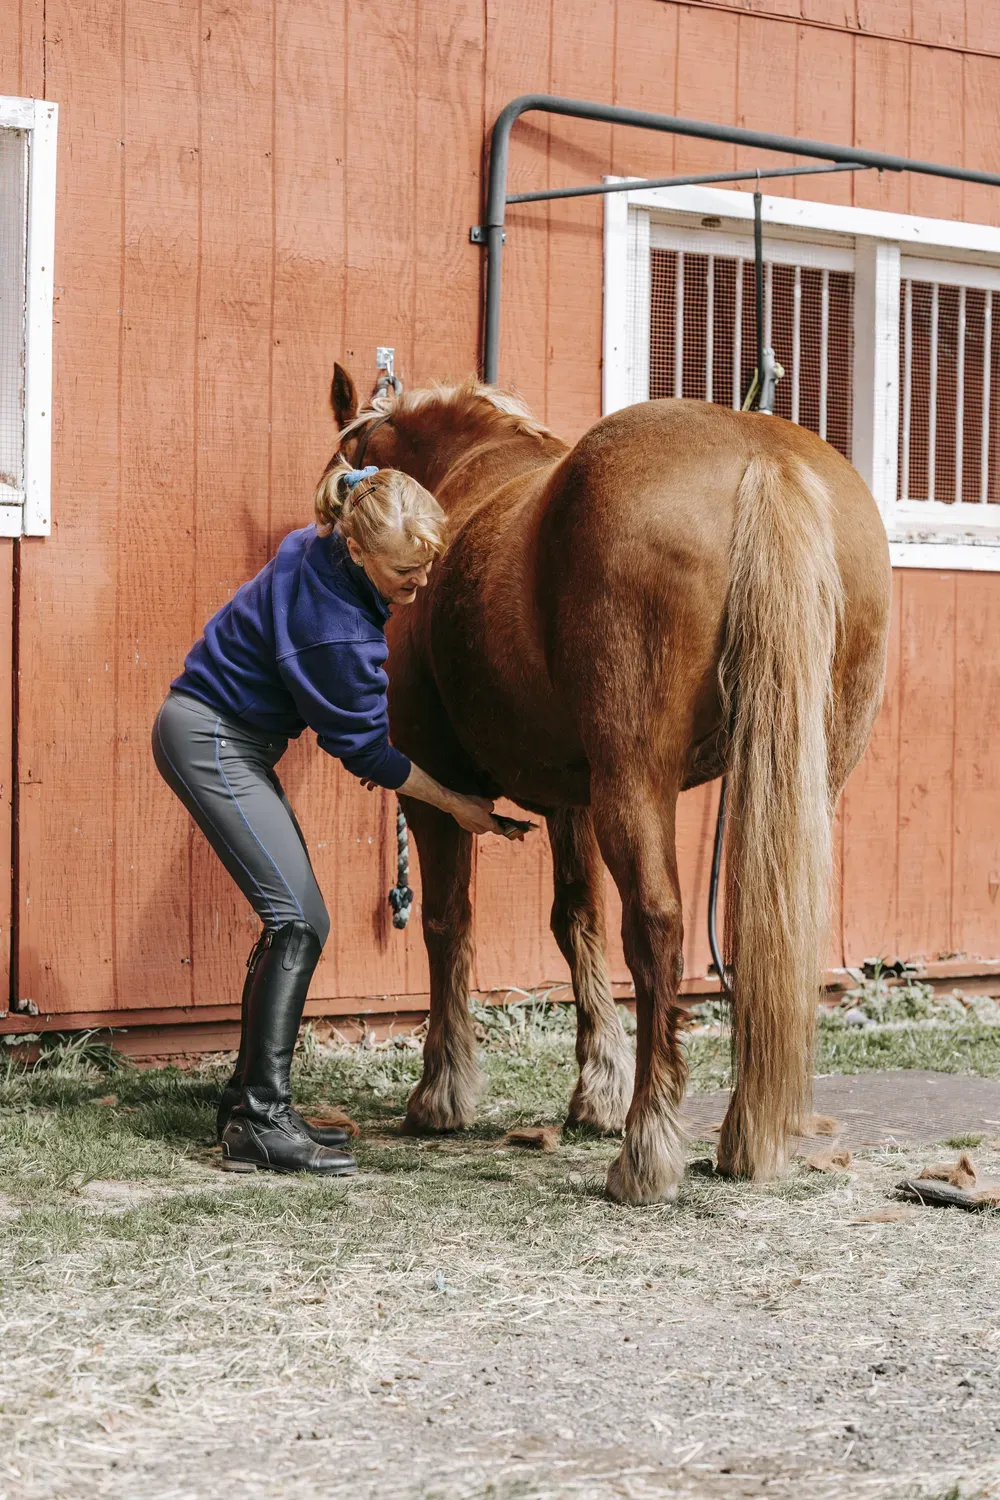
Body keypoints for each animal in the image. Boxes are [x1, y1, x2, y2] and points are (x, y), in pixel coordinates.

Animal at [322, 369, 893, 1212]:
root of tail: (765, 458)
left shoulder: (434, 789)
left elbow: (447, 924)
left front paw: (442, 1092)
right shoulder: (572, 798)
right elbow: (576, 922)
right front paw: (596, 1087)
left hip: (636, 778)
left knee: (656, 929)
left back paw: (646, 1150)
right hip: (806, 777)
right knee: (771, 931)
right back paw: (745, 1138)